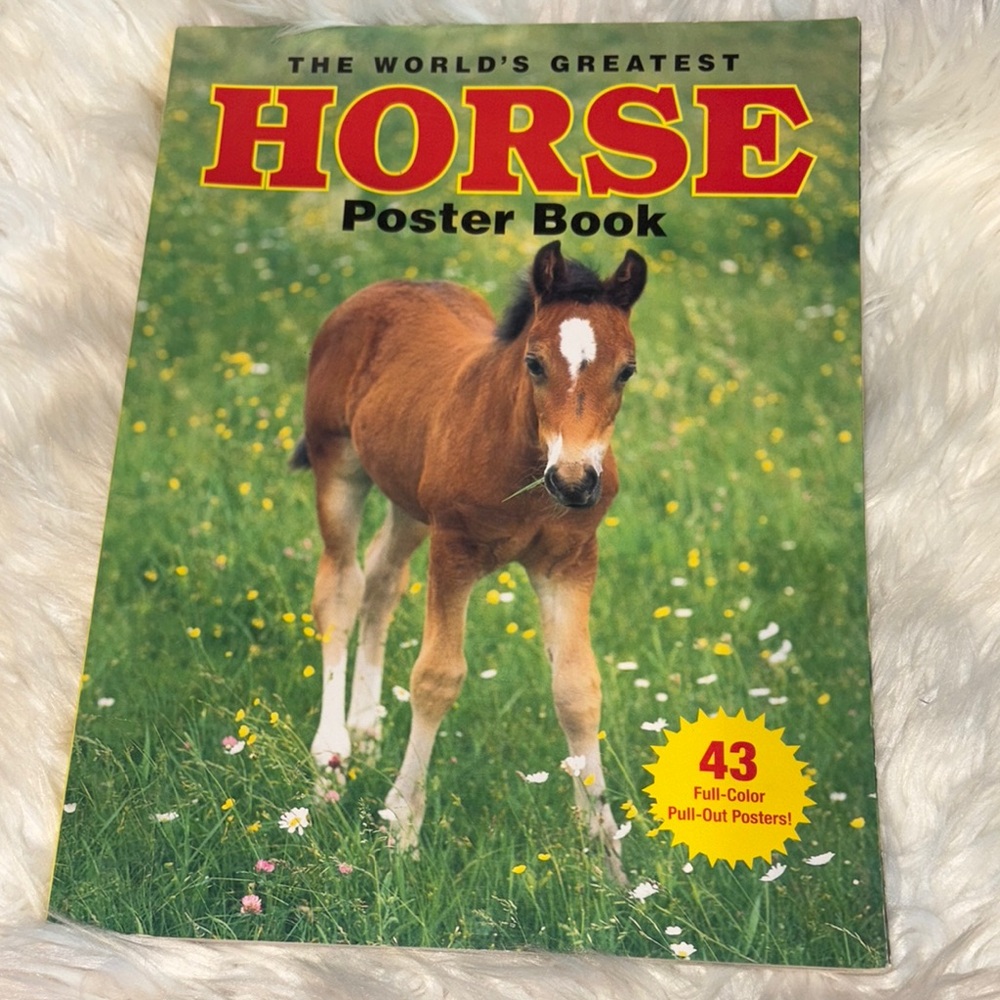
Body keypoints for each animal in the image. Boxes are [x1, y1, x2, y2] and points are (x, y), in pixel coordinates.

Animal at [292, 240, 646, 876]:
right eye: (534, 363)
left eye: (626, 370)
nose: (575, 481)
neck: (527, 465)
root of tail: (383, 288)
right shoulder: (454, 549)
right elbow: (437, 677)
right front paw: (401, 827)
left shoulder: (570, 562)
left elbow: (578, 692)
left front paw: (607, 857)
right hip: (338, 466)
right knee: (340, 590)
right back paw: (331, 761)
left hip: (409, 501)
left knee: (382, 579)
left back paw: (365, 728)